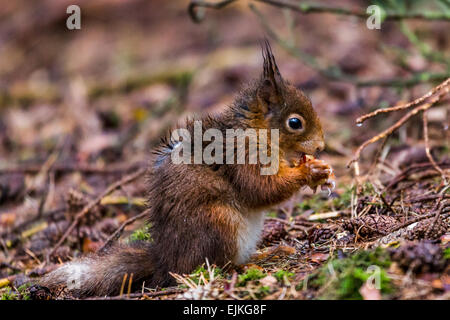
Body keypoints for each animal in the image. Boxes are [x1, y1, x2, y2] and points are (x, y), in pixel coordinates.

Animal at [41, 41, 334, 296]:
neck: (257, 131)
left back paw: (270, 252)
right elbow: (262, 189)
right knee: (217, 265)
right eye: (294, 122)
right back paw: (249, 265)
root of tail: (167, 261)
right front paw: (309, 172)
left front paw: (321, 172)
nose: (321, 146)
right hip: (219, 222)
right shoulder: (244, 156)